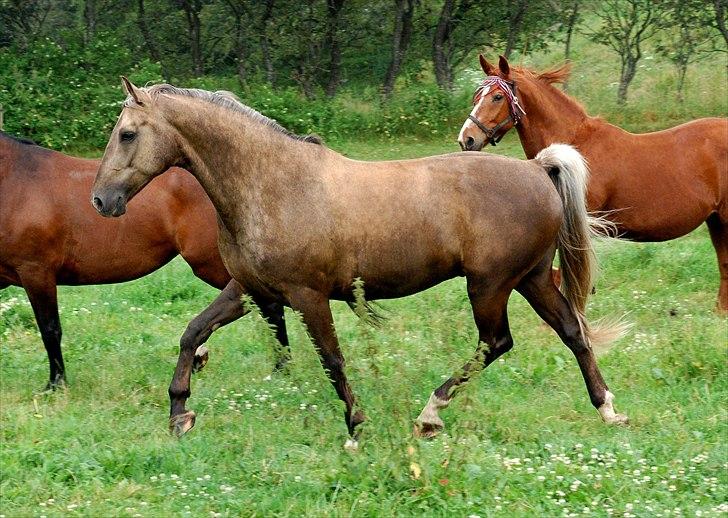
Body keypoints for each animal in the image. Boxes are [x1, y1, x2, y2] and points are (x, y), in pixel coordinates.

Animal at [0, 132, 290, 392]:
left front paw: (56, 384)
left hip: (214, 264)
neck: (15, 182)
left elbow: (50, 329)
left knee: (267, 306)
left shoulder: (37, 273)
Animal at [89, 79, 624, 448]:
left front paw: (356, 426)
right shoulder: (251, 289)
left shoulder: (308, 296)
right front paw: (180, 413)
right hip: (531, 279)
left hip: (490, 285)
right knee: (571, 331)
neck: (273, 184)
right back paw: (607, 409)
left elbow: (332, 359)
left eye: (128, 134)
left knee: (496, 342)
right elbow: (193, 332)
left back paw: (430, 413)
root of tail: (537, 169)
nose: (101, 200)